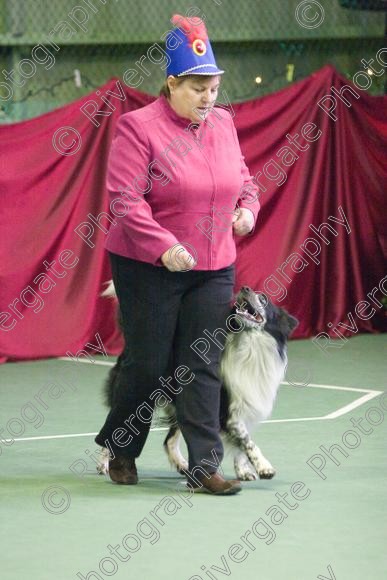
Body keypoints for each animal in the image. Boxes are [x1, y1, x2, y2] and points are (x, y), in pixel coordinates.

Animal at [97, 286, 298, 480]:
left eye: (263, 298)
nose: (245, 288)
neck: (250, 346)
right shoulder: (229, 411)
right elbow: (247, 442)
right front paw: (264, 467)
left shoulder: (247, 408)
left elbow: (242, 445)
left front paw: (244, 471)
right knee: (114, 430)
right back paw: (105, 465)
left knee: (169, 440)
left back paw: (182, 465)